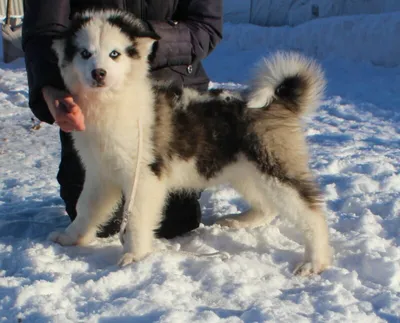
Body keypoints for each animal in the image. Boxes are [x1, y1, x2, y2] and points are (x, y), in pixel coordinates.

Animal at [50, 8, 332, 274]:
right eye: (84, 54)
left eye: (114, 54)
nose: (99, 73)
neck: (112, 101)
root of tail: (279, 100)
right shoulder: (100, 173)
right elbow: (86, 206)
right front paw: (71, 237)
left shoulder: (144, 176)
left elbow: (137, 217)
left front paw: (135, 254)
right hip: (244, 171)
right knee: (268, 207)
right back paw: (239, 221)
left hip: (272, 167)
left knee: (311, 213)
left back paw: (314, 261)